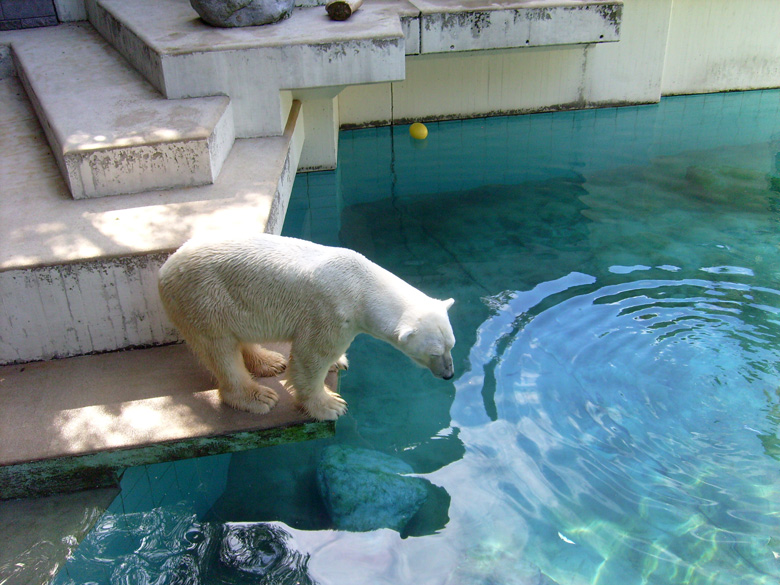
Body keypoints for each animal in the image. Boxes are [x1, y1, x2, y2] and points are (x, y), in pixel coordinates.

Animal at [157, 233, 458, 420]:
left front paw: (340, 362)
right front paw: (330, 405)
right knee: (219, 349)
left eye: (452, 346)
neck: (362, 284)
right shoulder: (332, 311)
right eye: (433, 353)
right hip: (204, 299)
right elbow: (311, 357)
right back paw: (258, 397)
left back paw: (269, 362)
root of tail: (164, 270)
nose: (449, 374)